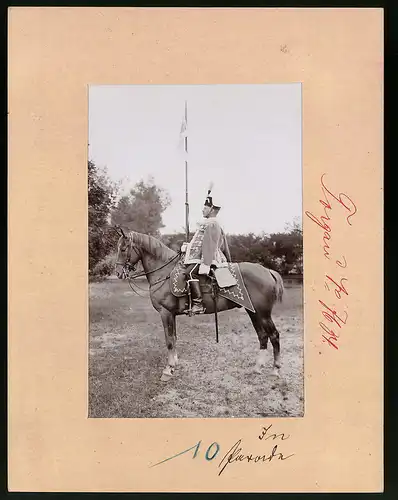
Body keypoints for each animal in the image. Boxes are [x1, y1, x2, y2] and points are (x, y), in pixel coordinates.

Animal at [113, 231, 284, 382]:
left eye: (123, 249)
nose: (118, 273)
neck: (164, 273)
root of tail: (268, 271)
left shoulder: (165, 313)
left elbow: (169, 340)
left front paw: (168, 370)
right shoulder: (171, 314)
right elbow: (174, 338)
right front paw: (174, 363)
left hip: (262, 313)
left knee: (274, 335)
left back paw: (275, 370)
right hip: (253, 312)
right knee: (262, 336)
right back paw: (258, 367)